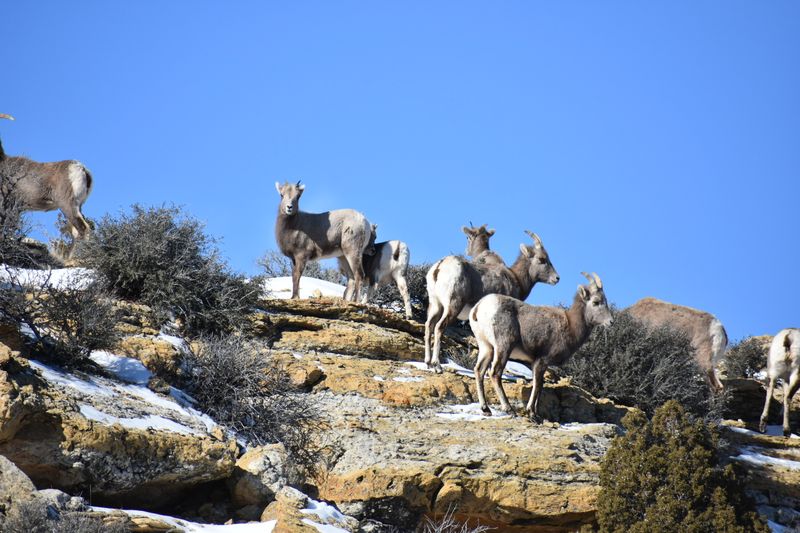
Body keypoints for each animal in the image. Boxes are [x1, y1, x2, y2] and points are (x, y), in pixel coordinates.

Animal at [424, 230, 559, 373]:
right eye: (542, 259)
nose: (557, 278)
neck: (516, 279)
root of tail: (439, 266)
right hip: (453, 306)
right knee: (439, 327)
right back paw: (437, 365)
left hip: (436, 305)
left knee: (429, 325)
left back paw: (428, 363)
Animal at [469, 272, 612, 421]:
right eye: (596, 302)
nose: (610, 322)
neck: (570, 325)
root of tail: (479, 306)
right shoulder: (541, 361)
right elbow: (537, 385)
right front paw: (532, 413)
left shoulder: (540, 364)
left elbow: (541, 385)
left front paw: (537, 413)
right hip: (504, 346)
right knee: (495, 373)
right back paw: (509, 409)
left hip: (487, 348)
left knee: (479, 370)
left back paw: (486, 409)